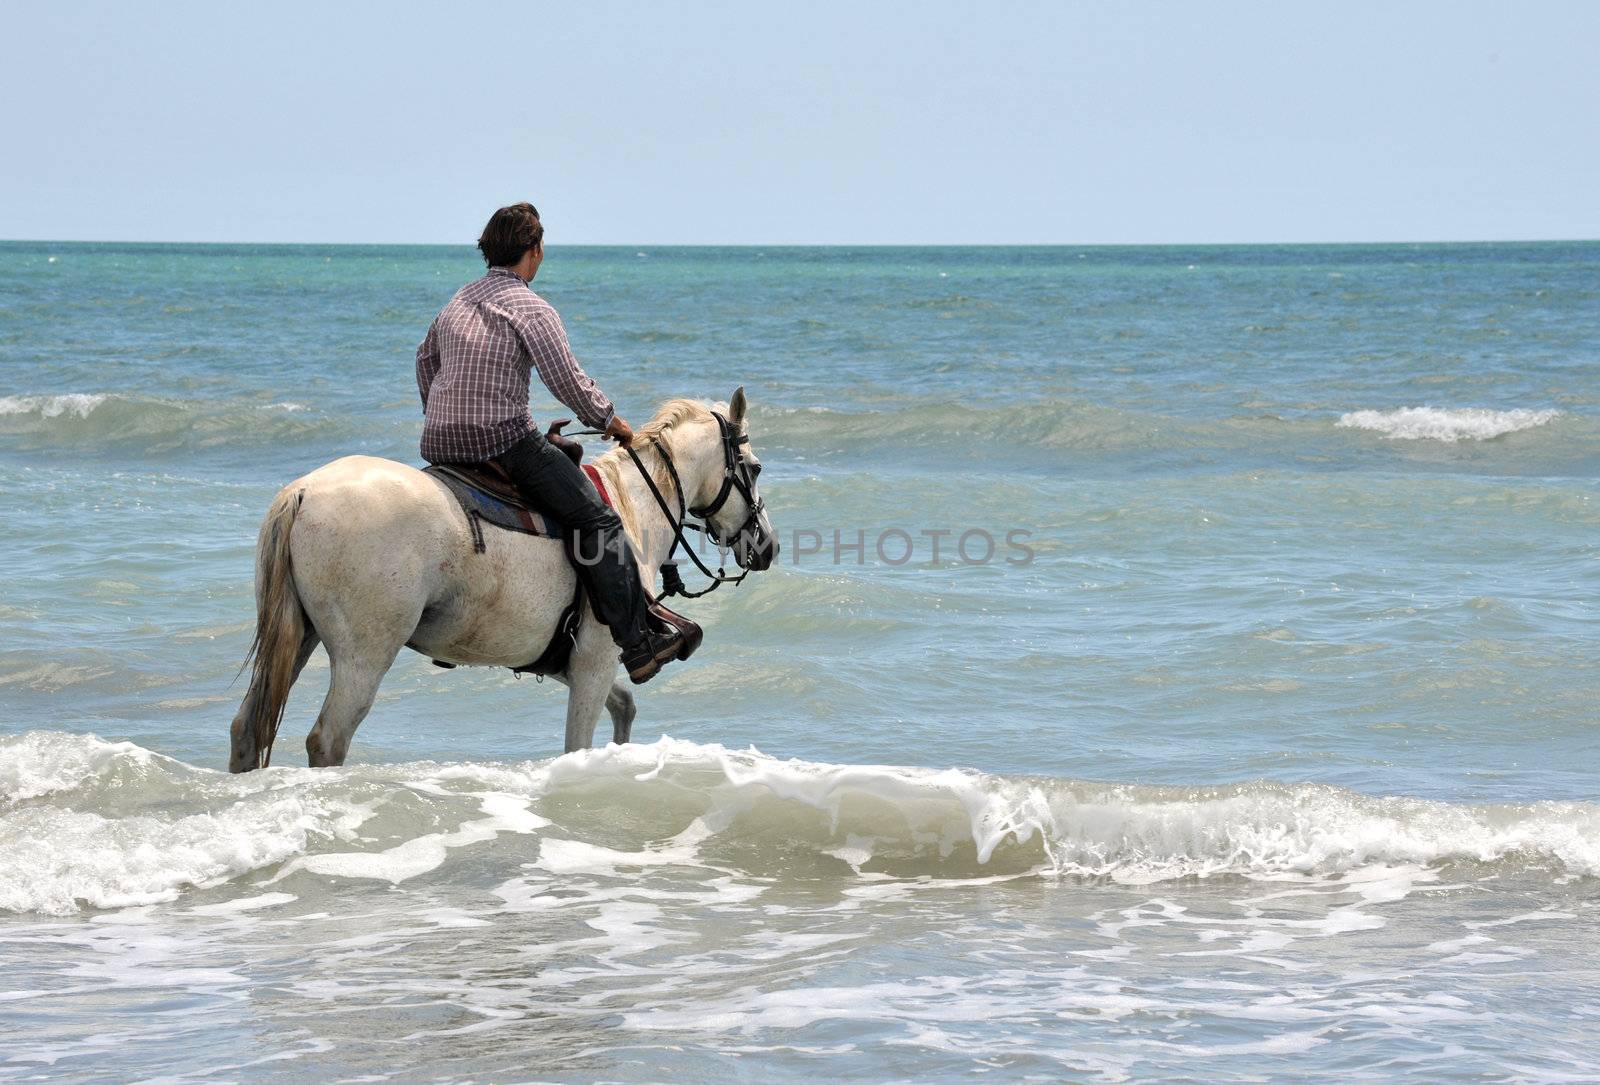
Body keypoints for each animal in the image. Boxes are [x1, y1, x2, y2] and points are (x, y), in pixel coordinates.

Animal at [228, 390, 771, 774]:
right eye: (756, 467)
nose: (767, 546)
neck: (631, 504)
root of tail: (301, 493)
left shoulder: (563, 659)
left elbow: (625, 706)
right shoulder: (594, 662)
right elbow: (578, 743)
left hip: (300, 636)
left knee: (246, 730)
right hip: (364, 655)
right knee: (328, 740)